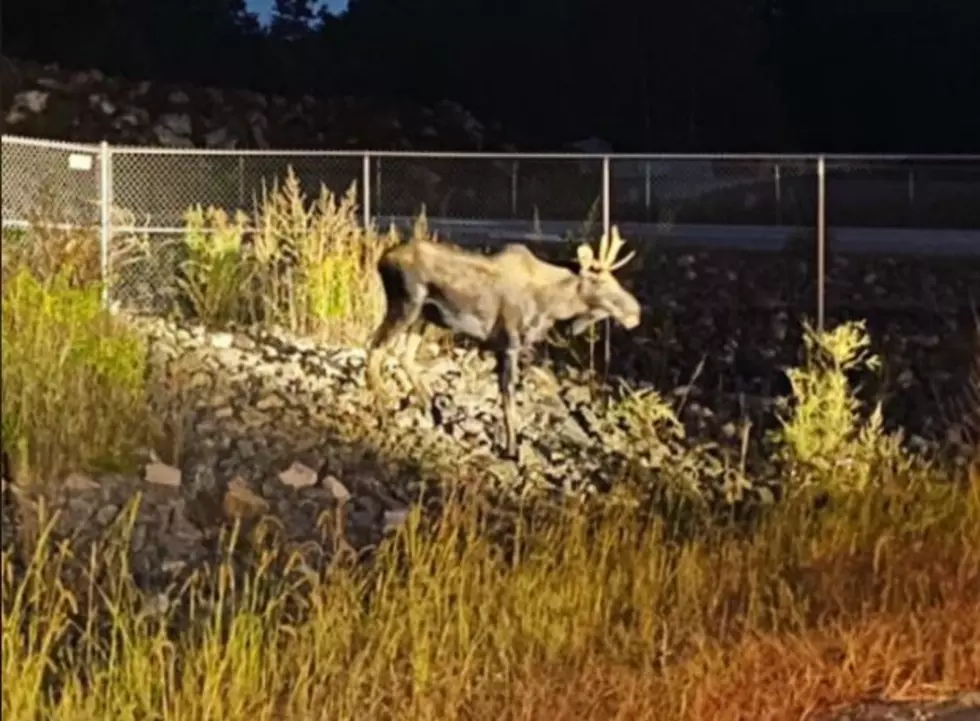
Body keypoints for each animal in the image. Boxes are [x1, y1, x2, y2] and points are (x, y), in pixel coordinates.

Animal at [364, 225, 640, 458]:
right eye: (598, 279)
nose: (635, 312)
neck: (550, 306)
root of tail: (381, 260)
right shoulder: (509, 344)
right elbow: (508, 398)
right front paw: (512, 448)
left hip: (424, 315)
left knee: (403, 355)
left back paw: (432, 409)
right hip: (406, 304)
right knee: (375, 347)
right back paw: (384, 410)